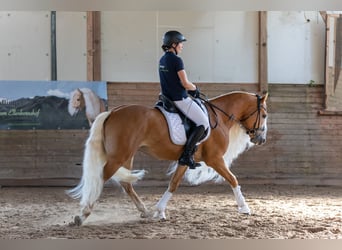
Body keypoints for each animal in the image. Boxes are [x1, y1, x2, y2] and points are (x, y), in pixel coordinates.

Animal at [67, 91, 268, 226]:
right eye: (264, 115)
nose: (261, 139)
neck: (218, 116)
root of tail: (113, 112)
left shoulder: (185, 159)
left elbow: (173, 183)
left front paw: (159, 211)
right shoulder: (215, 159)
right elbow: (233, 179)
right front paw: (245, 208)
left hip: (126, 156)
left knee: (126, 183)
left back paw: (144, 211)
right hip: (119, 156)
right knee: (101, 178)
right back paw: (82, 215)